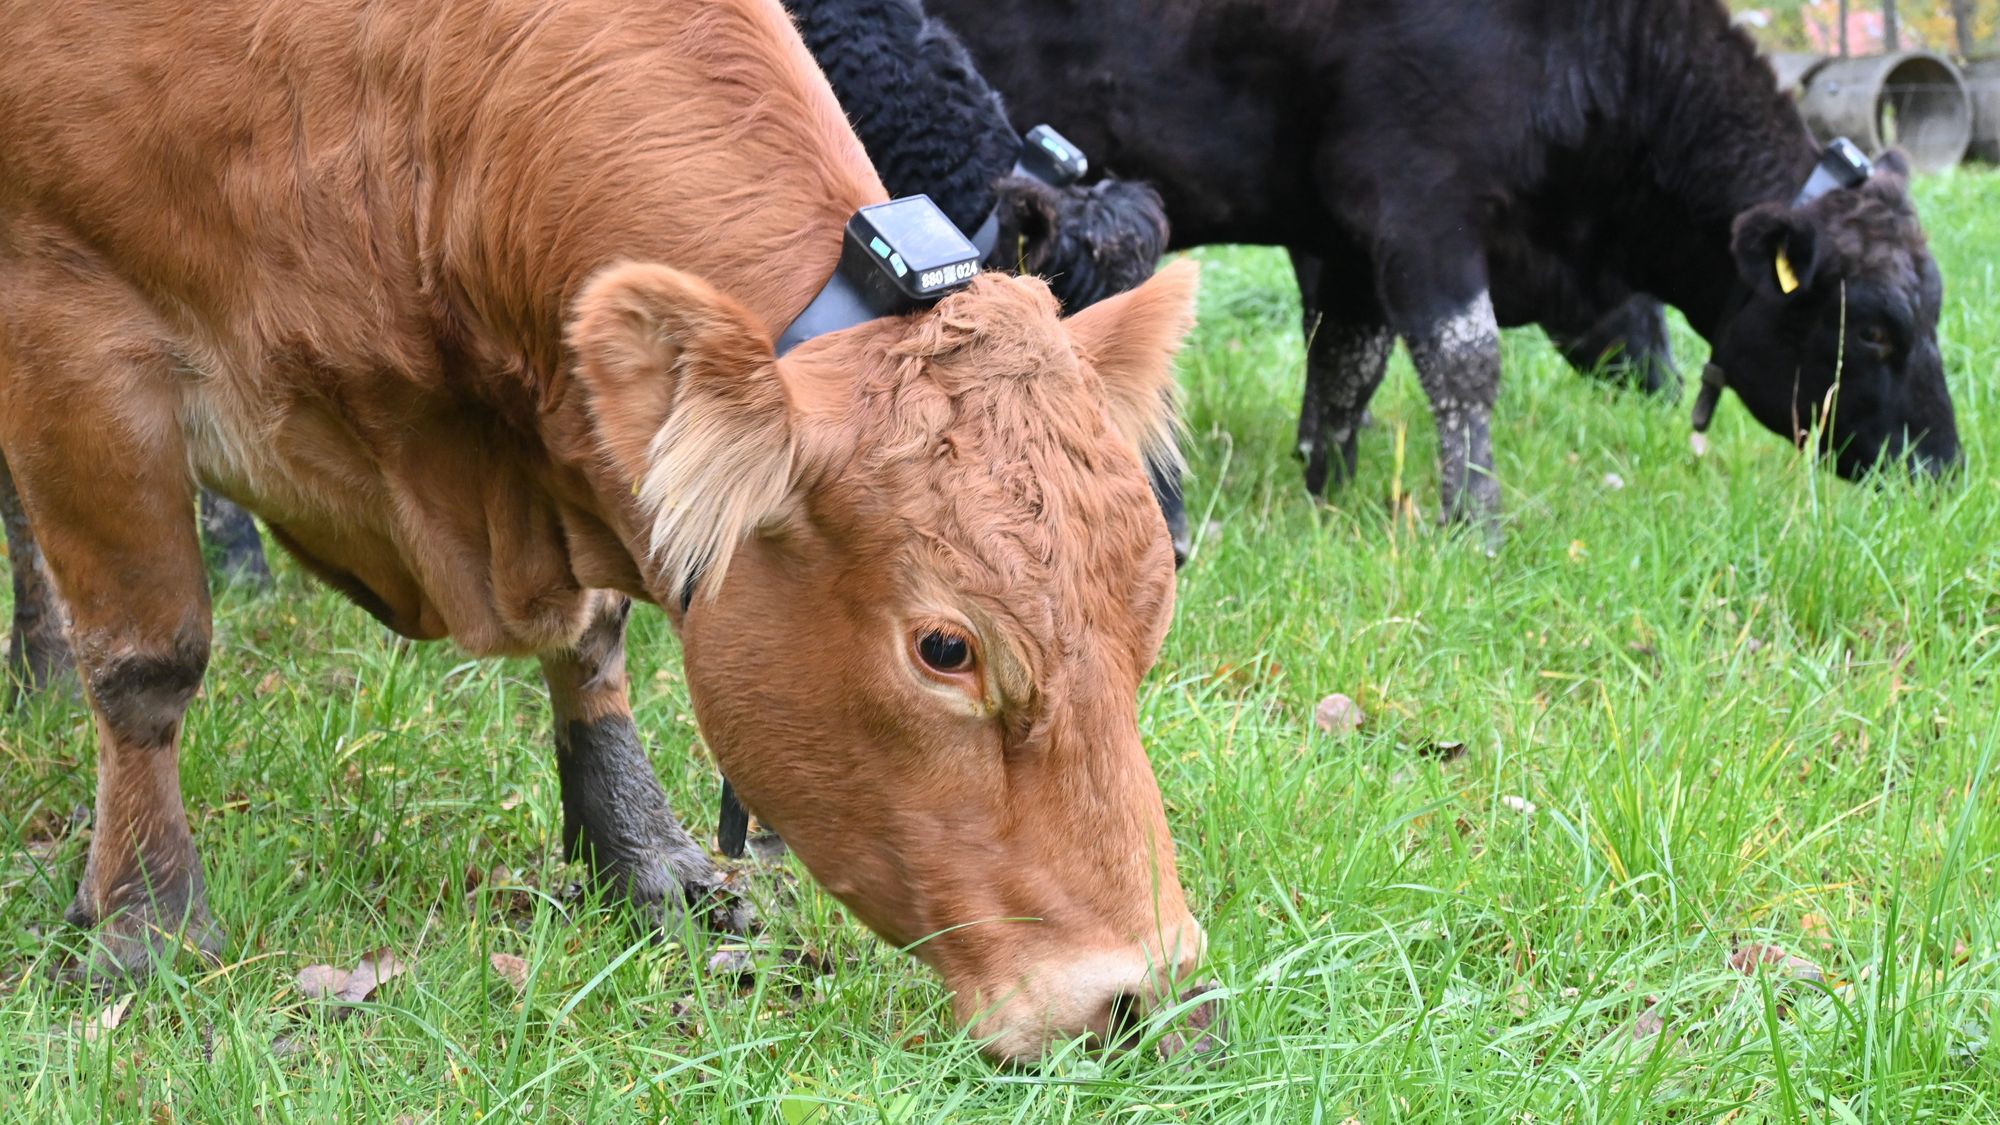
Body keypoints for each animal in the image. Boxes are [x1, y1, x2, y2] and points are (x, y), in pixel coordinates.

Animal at [0, 0, 1200, 1056]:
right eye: (945, 648)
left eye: (1154, 616)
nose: (1150, 1002)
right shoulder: (74, 331)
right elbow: (150, 660)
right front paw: (145, 921)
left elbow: (592, 638)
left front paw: (644, 856)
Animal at [928, 0, 1960, 524]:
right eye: (1876, 329)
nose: (1943, 471)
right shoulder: (1418, 199)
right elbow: (1465, 361)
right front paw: (1477, 517)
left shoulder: (1347, 240)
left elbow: (1347, 364)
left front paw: (1327, 483)